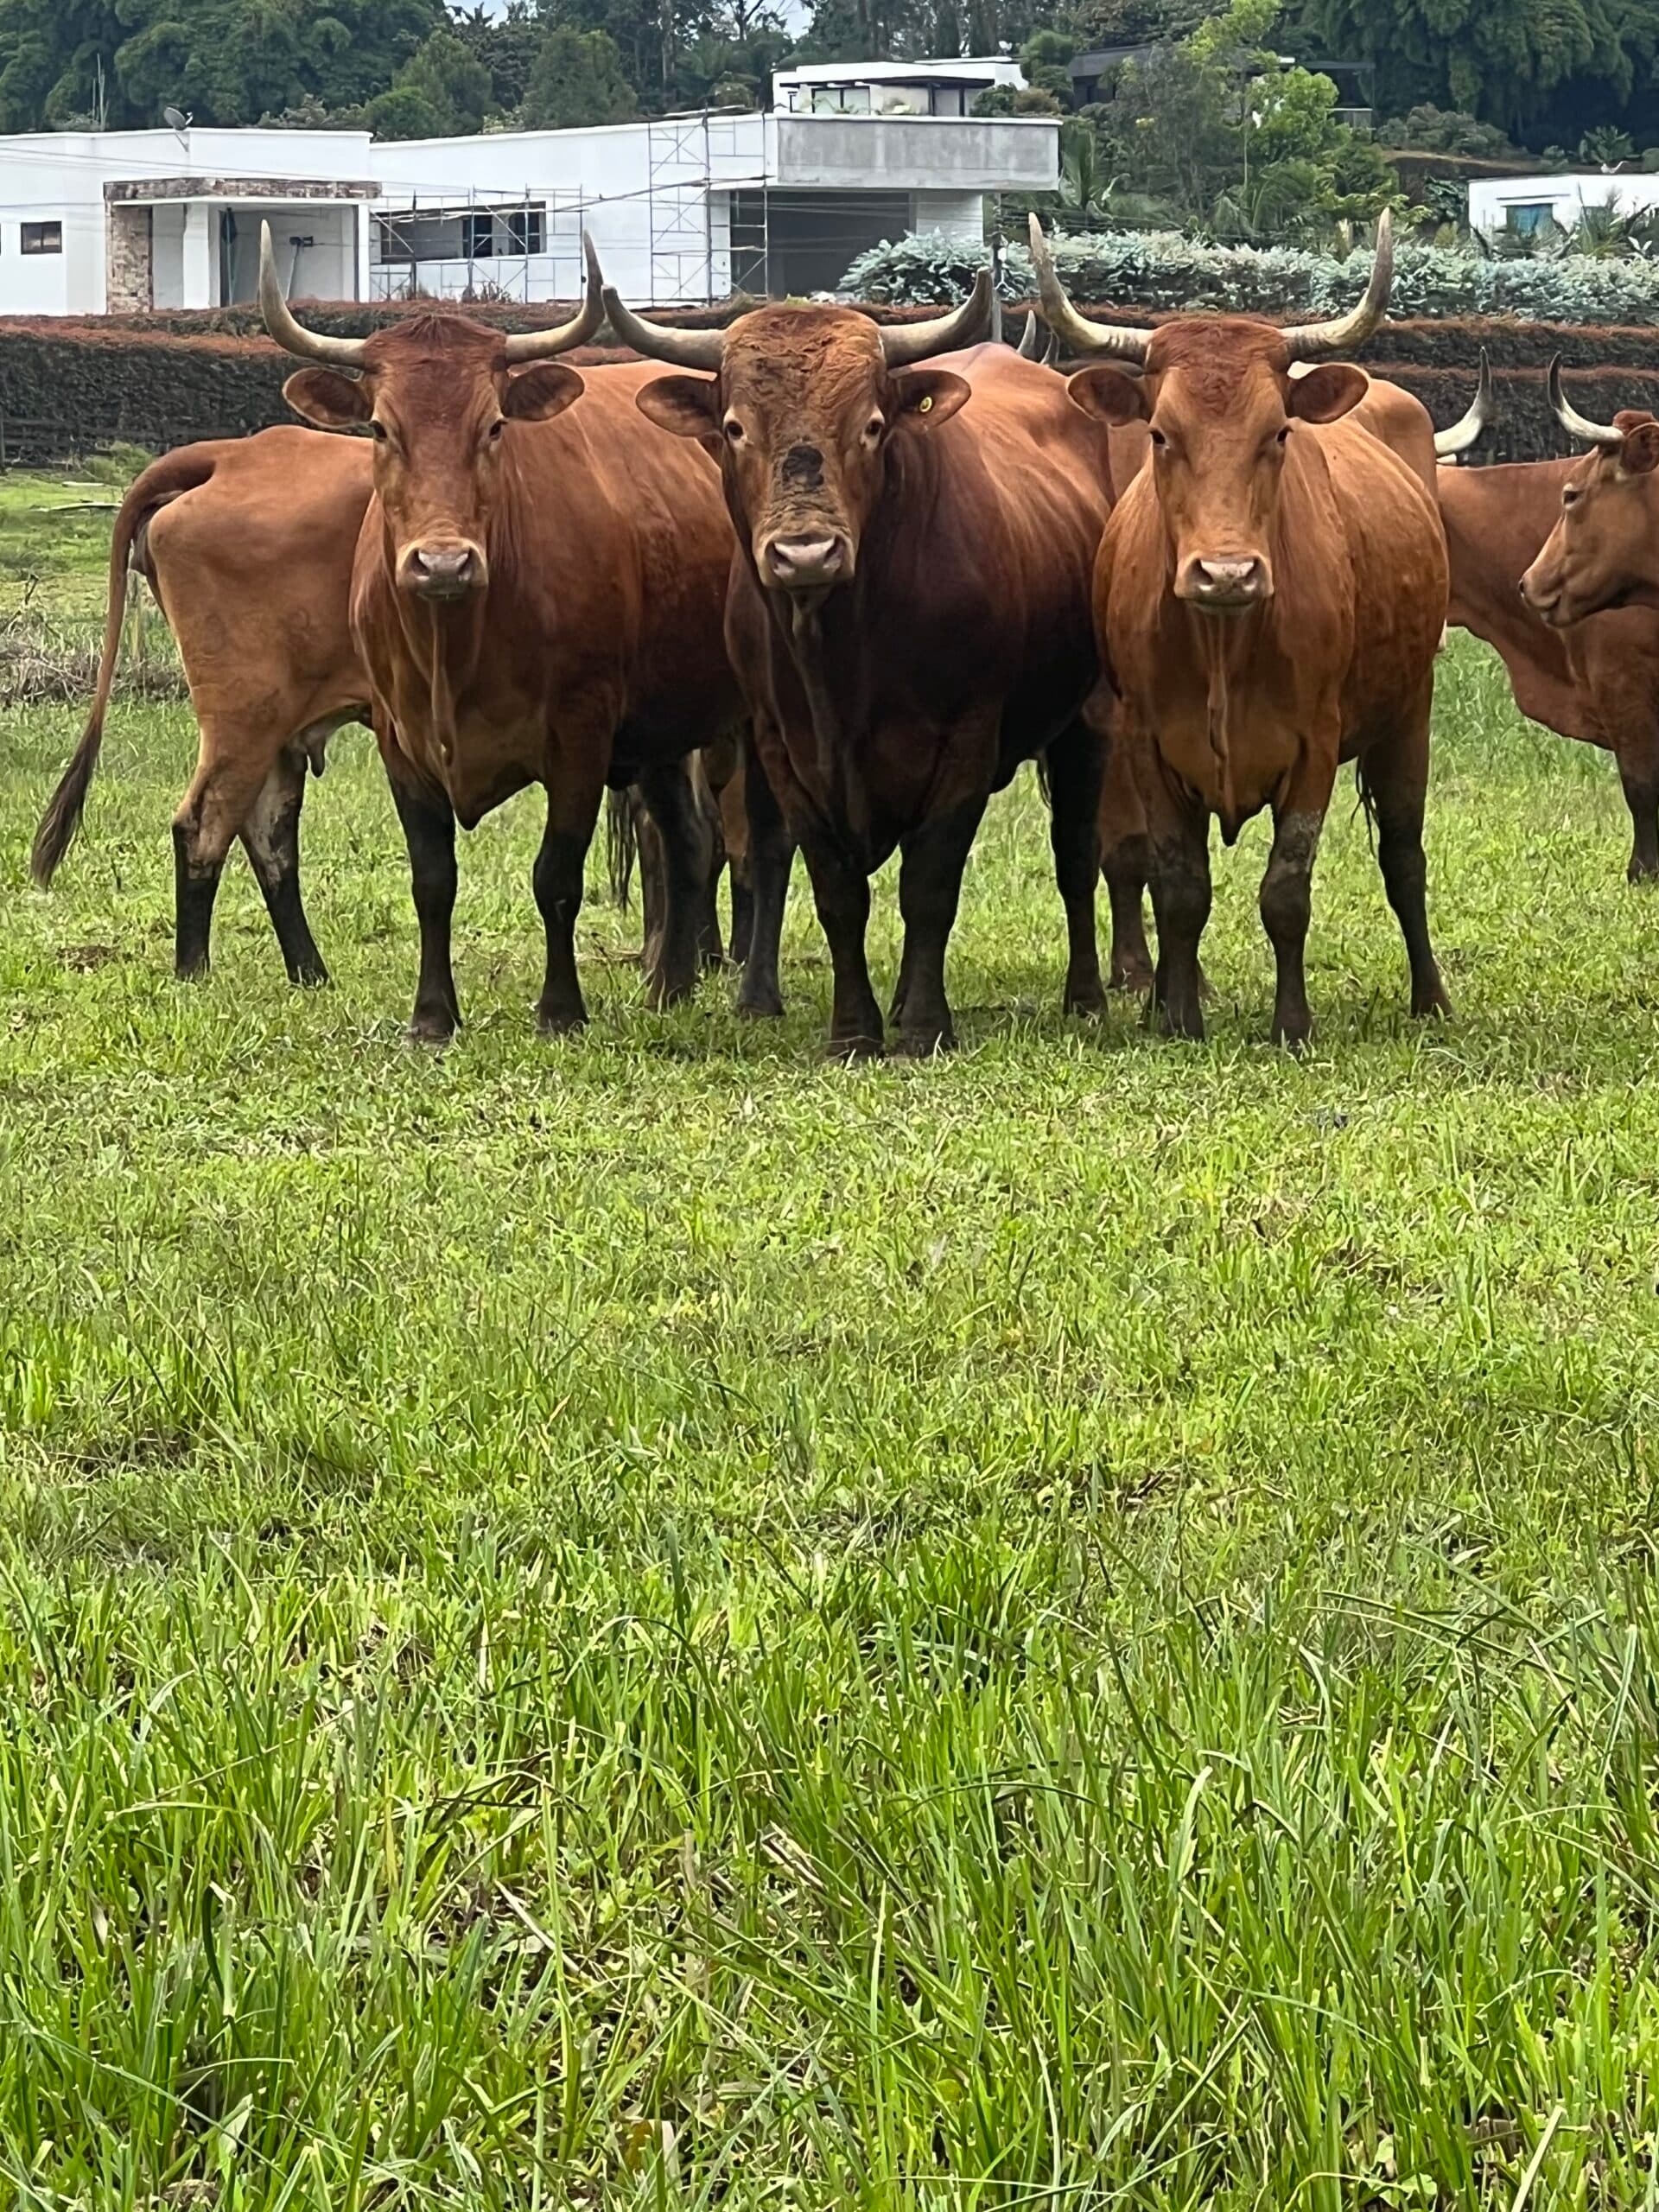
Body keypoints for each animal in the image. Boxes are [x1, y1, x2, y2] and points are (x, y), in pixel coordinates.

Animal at [256, 226, 759, 1041]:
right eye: (380, 428)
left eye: (492, 426)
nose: (442, 561)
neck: (456, 643)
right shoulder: (399, 740)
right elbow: (432, 881)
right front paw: (432, 1016)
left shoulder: (580, 737)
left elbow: (555, 877)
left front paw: (560, 1009)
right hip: (662, 724)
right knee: (686, 839)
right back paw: (667, 988)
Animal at [604, 270, 1140, 1058]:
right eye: (734, 427)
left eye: (872, 426)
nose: (805, 552)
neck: (843, 651)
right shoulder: (783, 749)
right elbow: (835, 891)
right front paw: (854, 1031)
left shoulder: (964, 745)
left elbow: (929, 886)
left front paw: (921, 1027)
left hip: (1088, 722)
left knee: (1075, 855)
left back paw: (1086, 998)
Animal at [1029, 211, 1451, 1048]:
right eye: (1160, 435)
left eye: (1278, 434)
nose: (1226, 574)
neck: (1224, 642)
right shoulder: (1146, 743)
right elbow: (1179, 887)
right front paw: (1176, 1016)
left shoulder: (1316, 745)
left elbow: (1286, 890)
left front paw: (1292, 1023)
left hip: (1408, 714)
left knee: (1404, 856)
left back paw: (1431, 999)